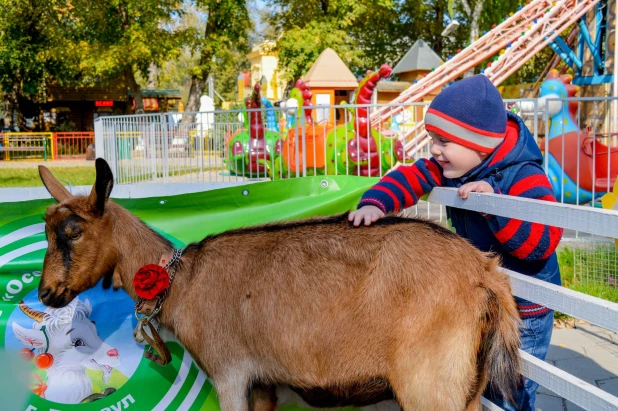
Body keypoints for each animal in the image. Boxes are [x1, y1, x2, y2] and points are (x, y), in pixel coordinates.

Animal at [37, 159, 520, 411]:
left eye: (73, 232)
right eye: (46, 229)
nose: (46, 294)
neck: (182, 279)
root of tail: (485, 275)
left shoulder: (229, 373)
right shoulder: (262, 379)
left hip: (431, 386)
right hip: (467, 387)